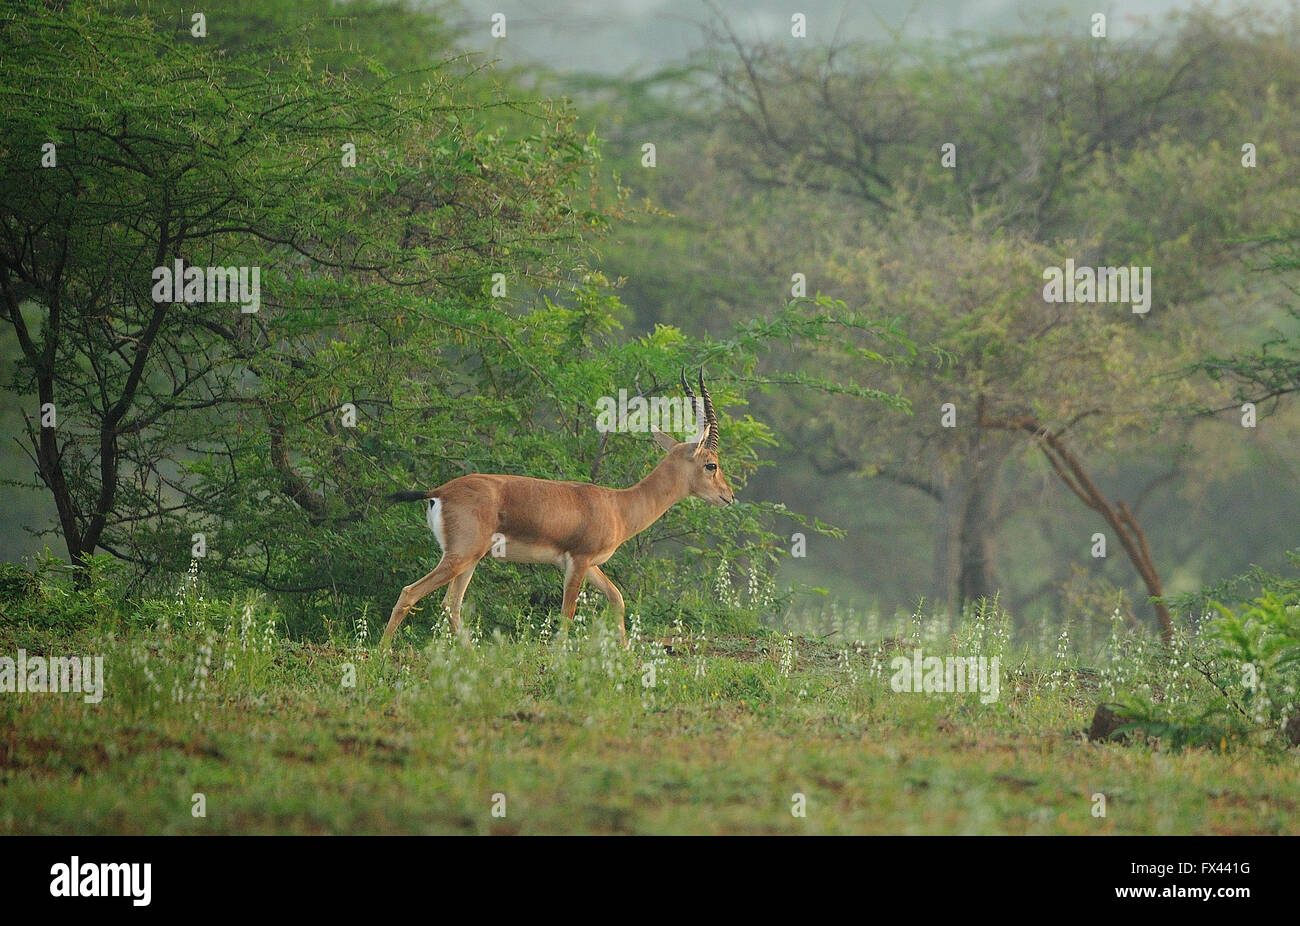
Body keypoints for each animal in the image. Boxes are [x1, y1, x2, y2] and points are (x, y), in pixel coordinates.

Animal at [380, 373, 734, 649]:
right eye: (711, 464)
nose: (729, 496)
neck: (617, 505)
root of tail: (438, 492)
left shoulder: (590, 564)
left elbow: (617, 598)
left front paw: (623, 652)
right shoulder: (577, 561)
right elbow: (567, 616)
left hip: (469, 561)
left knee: (450, 605)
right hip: (460, 557)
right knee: (410, 593)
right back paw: (383, 652)